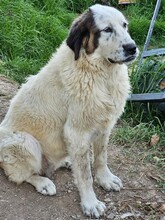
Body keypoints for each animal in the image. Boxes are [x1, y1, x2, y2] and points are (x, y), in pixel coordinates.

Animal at [0, 3, 139, 218]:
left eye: (124, 25)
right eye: (107, 29)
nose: (132, 48)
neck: (102, 75)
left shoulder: (104, 125)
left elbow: (101, 157)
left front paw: (105, 179)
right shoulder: (76, 132)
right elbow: (85, 175)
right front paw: (90, 203)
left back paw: (66, 162)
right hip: (25, 142)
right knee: (20, 175)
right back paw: (44, 183)